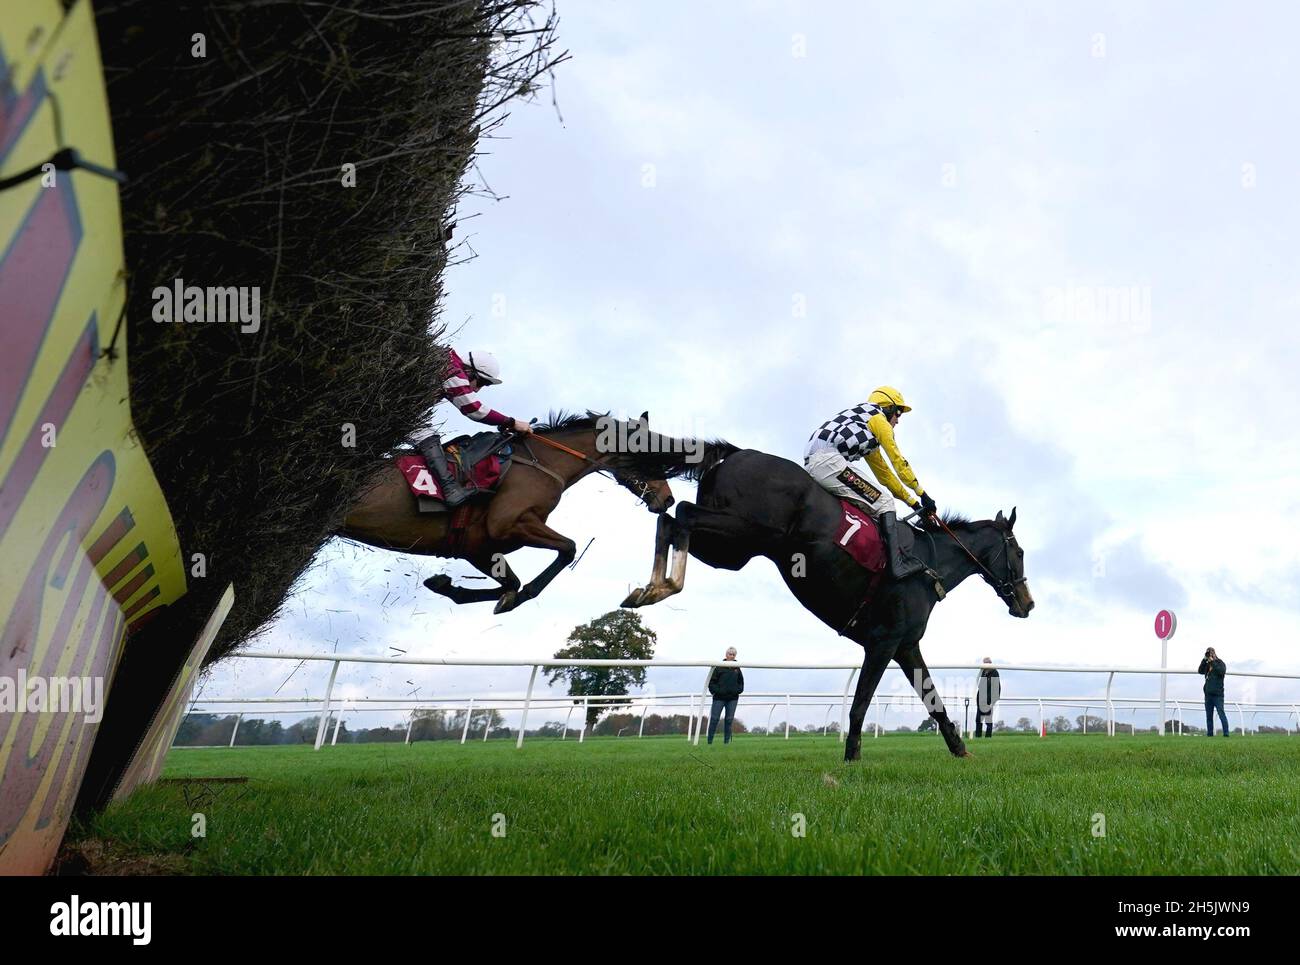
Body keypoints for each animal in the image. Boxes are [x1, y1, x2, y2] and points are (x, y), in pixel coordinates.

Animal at [340, 410, 686, 616]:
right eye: (651, 453)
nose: (668, 499)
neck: (543, 462)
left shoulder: (477, 547)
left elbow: (510, 583)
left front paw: (445, 585)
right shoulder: (506, 526)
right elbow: (566, 550)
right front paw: (517, 597)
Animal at [624, 444, 1040, 764]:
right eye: (1019, 552)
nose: (1027, 603)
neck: (928, 562)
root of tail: (738, 452)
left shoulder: (906, 645)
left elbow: (933, 699)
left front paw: (959, 749)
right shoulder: (884, 641)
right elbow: (861, 702)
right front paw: (852, 756)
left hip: (729, 551)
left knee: (671, 520)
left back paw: (650, 587)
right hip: (747, 531)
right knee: (681, 514)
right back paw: (663, 584)